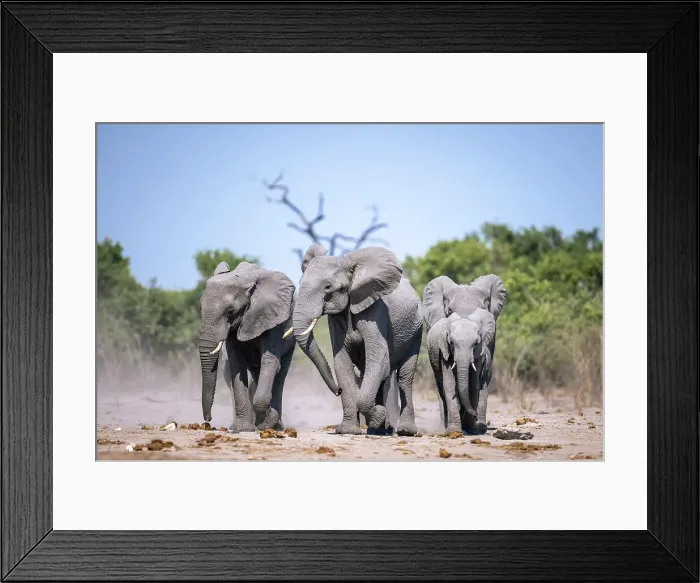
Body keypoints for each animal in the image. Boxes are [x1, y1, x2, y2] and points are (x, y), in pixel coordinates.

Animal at [198, 260, 296, 432]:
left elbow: (270, 361)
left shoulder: (271, 317)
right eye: (200, 308)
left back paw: (276, 426)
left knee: (280, 374)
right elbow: (237, 365)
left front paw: (268, 422)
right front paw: (243, 428)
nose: (208, 420)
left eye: (230, 311)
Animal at [289, 243, 423, 436]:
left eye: (328, 287)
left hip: (416, 330)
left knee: (404, 377)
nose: (337, 390)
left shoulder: (376, 311)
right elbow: (342, 363)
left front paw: (378, 414)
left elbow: (379, 358)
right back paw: (378, 430)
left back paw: (405, 431)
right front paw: (348, 430)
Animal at [422, 274, 507, 434]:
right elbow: (450, 385)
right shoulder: (444, 353)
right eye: (449, 311)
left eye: (483, 309)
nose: (474, 415)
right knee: (441, 387)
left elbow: (474, 385)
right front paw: (454, 431)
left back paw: (480, 426)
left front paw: (473, 428)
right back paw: (446, 426)